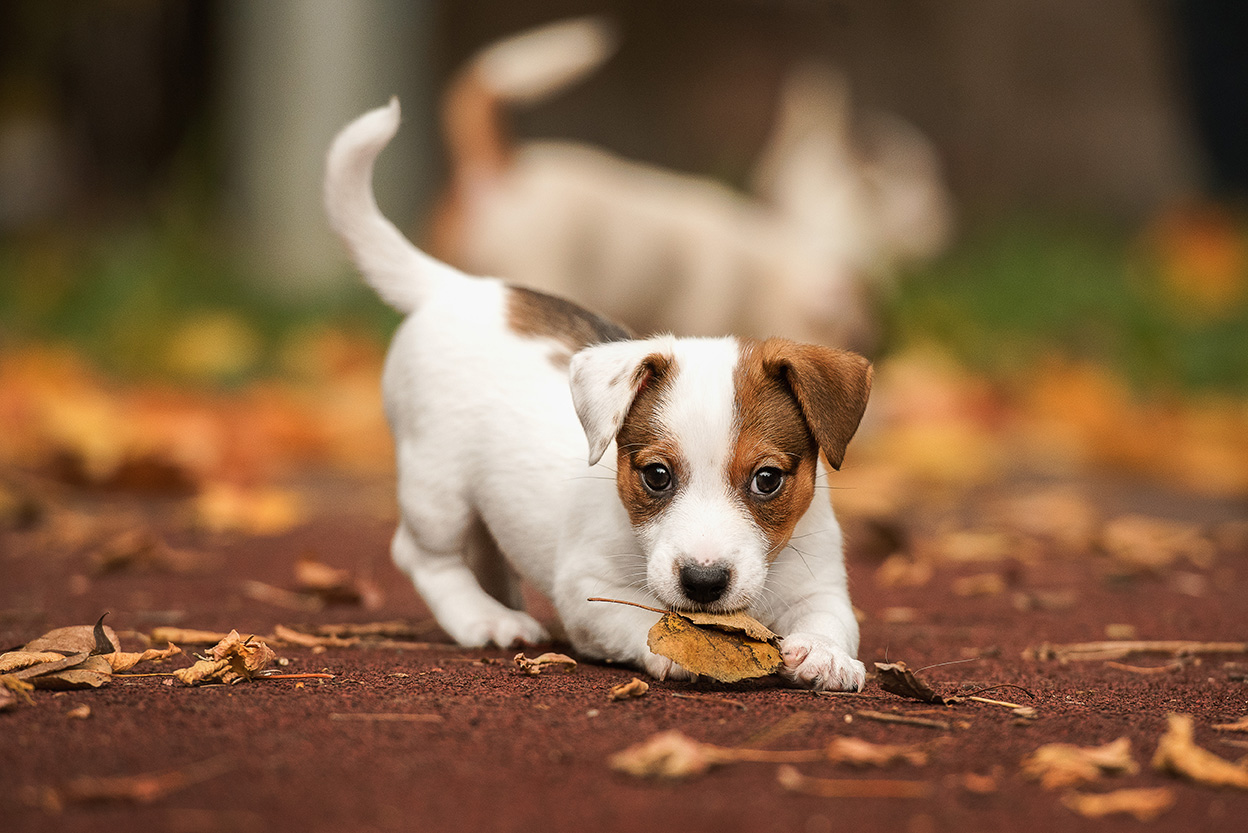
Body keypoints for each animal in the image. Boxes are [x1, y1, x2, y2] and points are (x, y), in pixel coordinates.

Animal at [326, 96, 873, 689]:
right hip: (436, 485)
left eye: (768, 480)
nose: (703, 582)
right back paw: (483, 618)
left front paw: (825, 655)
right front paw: (676, 649)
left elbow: (830, 619)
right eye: (656, 475)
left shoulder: (821, 584)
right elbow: (644, 621)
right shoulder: (589, 590)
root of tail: (458, 285)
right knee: (424, 556)